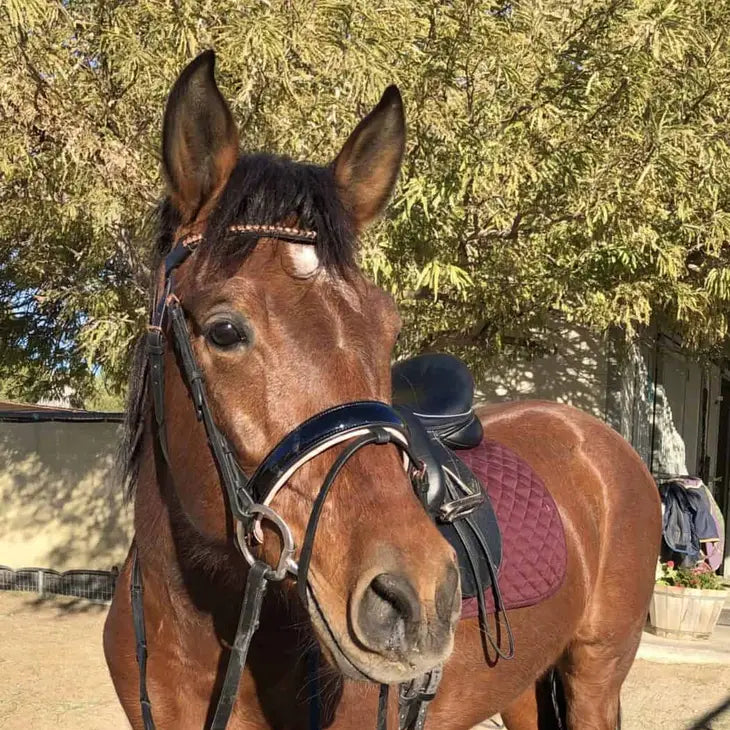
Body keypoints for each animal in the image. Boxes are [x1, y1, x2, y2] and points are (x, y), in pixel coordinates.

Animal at [105, 48, 664, 724]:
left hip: (596, 679)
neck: (193, 630)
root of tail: (597, 439)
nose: (418, 594)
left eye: (388, 325)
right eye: (225, 330)